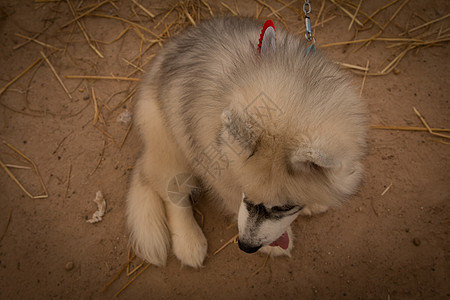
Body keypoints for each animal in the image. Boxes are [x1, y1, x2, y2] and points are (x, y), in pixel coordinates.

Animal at [125, 17, 366, 268]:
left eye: (285, 207)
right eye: (247, 195)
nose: (246, 247)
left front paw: (314, 202)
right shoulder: (215, 166)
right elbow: (231, 199)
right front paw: (274, 246)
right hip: (168, 142)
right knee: (173, 193)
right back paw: (189, 242)